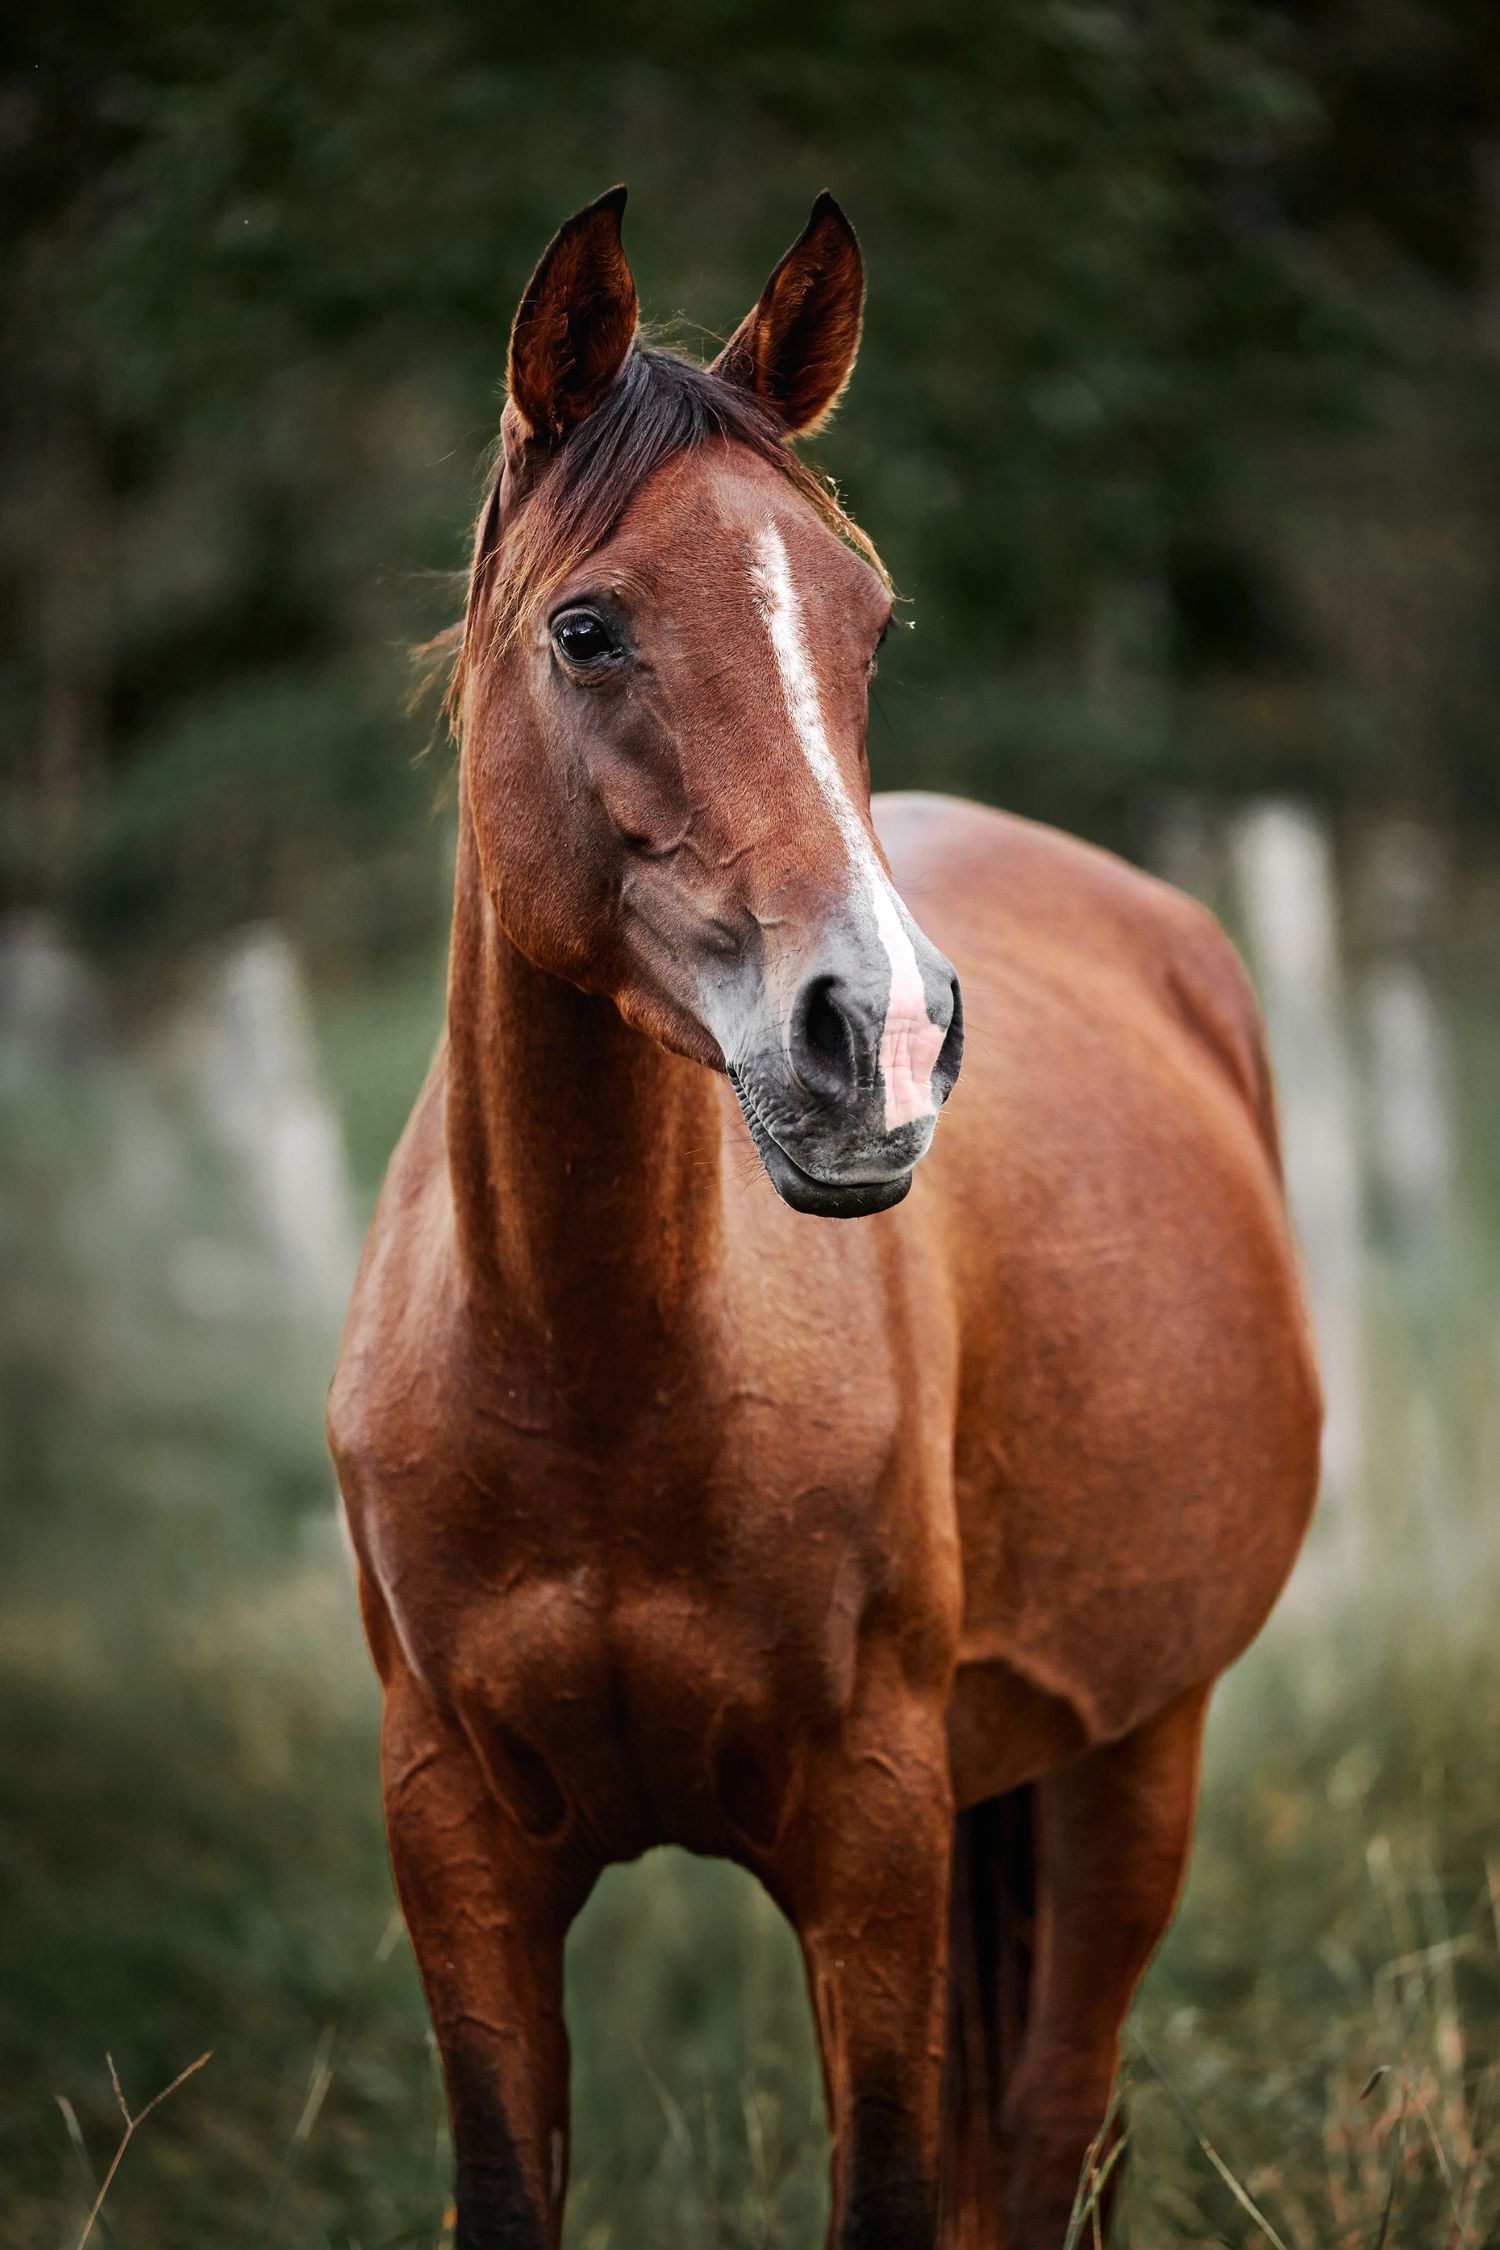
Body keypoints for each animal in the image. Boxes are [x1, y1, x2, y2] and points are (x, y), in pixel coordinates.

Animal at [327, 186, 1321, 2250]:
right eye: (591, 627)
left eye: (865, 626)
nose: (888, 1040)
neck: (594, 1381)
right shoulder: (454, 1840)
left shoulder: (871, 1831)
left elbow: (893, 2188)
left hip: (1136, 1761)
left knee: (1044, 2135)